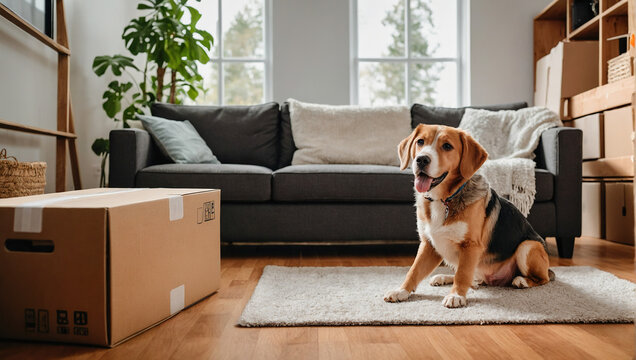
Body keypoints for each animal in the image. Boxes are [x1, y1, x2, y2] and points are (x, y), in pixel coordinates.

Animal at [386, 125, 556, 308]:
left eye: (447, 146)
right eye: (420, 142)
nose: (421, 160)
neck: (444, 200)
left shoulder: (470, 246)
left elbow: (462, 274)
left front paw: (456, 295)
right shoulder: (428, 244)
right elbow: (413, 271)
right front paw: (401, 291)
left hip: (528, 246)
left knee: (543, 278)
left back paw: (522, 281)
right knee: (473, 279)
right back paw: (444, 277)